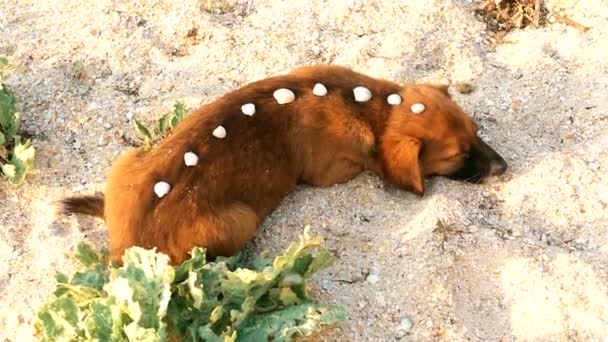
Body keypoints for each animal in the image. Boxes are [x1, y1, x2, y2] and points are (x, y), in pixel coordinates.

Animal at [61, 64, 508, 264]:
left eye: (477, 131)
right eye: (457, 156)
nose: (504, 167)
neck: (373, 108)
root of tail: (124, 248)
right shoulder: (334, 170)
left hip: (127, 158)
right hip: (240, 219)